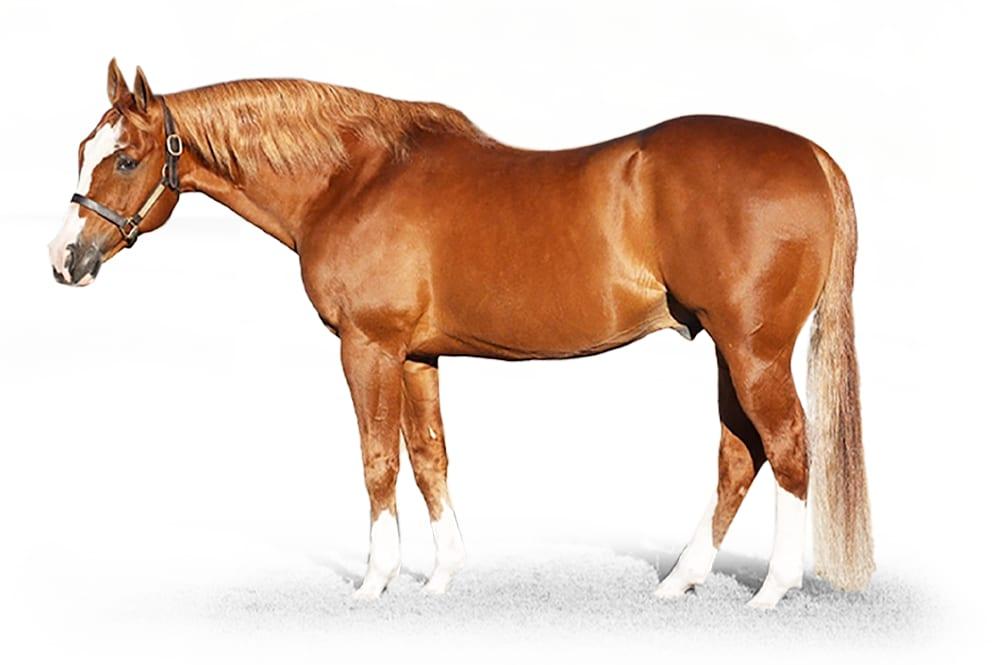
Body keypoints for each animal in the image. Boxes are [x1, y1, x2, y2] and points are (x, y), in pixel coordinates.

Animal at [49, 59, 874, 608]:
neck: (352, 179)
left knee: (787, 447)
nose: (65, 261)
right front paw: (441, 574)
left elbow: (377, 460)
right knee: (739, 454)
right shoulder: (418, 354)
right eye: (83, 151)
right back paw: (681, 579)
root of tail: (813, 154)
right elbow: (429, 459)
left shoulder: (368, 347)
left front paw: (375, 581)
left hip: (753, 350)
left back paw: (771, 590)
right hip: (730, 351)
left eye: (126, 158)